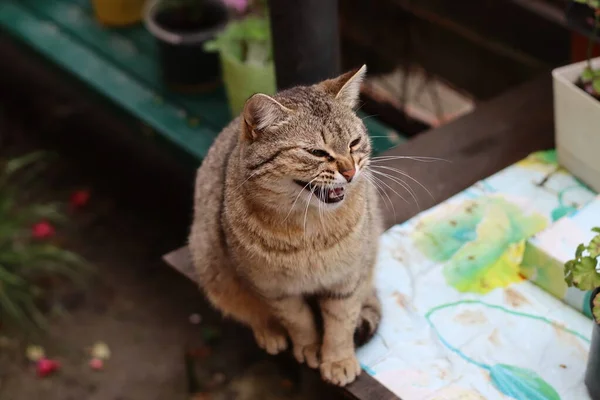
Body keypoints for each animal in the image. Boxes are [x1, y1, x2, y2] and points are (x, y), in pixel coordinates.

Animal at [190, 66, 382, 388]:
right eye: (317, 152)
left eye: (354, 143)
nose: (350, 171)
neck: (310, 227)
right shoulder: (273, 288)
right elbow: (298, 319)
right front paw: (309, 346)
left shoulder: (348, 278)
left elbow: (340, 322)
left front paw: (338, 359)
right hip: (211, 266)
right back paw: (270, 332)